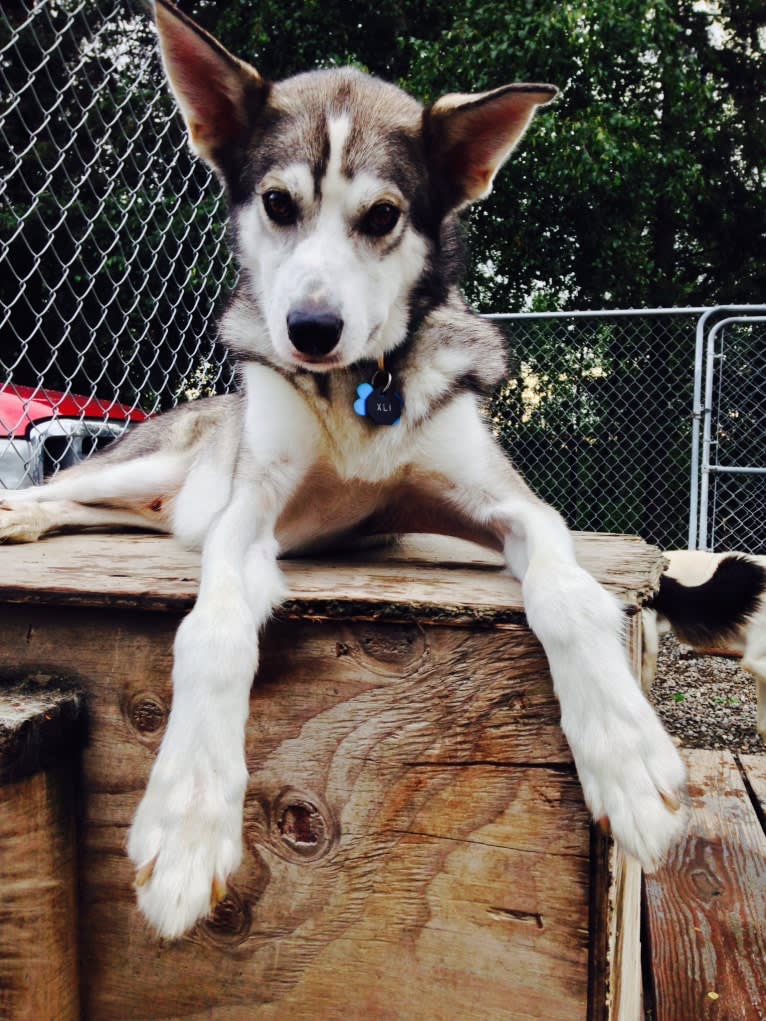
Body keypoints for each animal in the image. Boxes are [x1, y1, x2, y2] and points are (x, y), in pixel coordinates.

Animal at [0, 1, 690, 939]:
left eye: (383, 216)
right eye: (279, 203)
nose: (311, 328)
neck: (360, 388)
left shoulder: (508, 503)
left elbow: (569, 593)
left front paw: (625, 751)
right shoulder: (249, 515)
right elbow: (212, 629)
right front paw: (188, 820)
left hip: (163, 502)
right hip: (152, 466)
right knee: (62, 489)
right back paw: (16, 515)